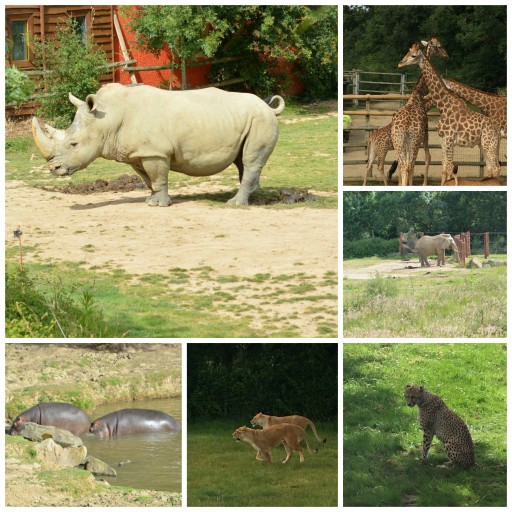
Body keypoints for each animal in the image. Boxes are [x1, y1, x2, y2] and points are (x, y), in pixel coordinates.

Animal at [392, 37, 448, 186]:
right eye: (439, 46)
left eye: (412, 54)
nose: (446, 55)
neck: (418, 94)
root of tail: (404, 128)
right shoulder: (426, 132)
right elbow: (428, 157)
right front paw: (424, 183)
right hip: (414, 141)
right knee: (409, 165)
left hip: (398, 142)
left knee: (403, 164)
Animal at [398, 43, 502, 184]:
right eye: (408, 52)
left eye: (413, 55)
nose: (400, 63)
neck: (443, 106)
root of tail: (497, 128)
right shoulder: (443, 141)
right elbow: (445, 169)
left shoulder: (449, 139)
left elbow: (449, 168)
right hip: (483, 144)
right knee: (491, 168)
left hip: (489, 143)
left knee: (496, 168)